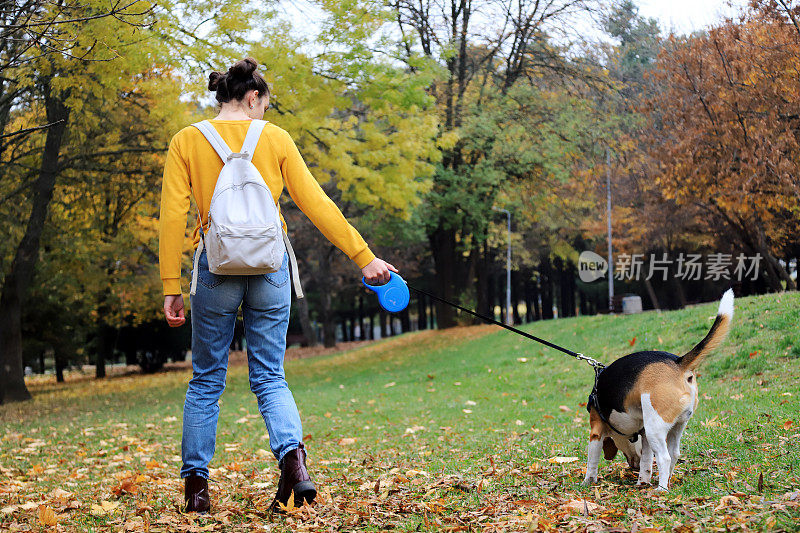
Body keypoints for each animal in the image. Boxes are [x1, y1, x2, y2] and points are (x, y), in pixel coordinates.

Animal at [584, 290, 736, 490]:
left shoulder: (597, 430)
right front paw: (643, 480)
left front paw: (587, 481)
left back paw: (661, 489)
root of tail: (678, 363)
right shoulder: (644, 435)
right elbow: (647, 461)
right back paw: (667, 481)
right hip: (676, 425)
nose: (633, 467)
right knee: (674, 454)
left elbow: (592, 460)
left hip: (655, 427)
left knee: (664, 457)